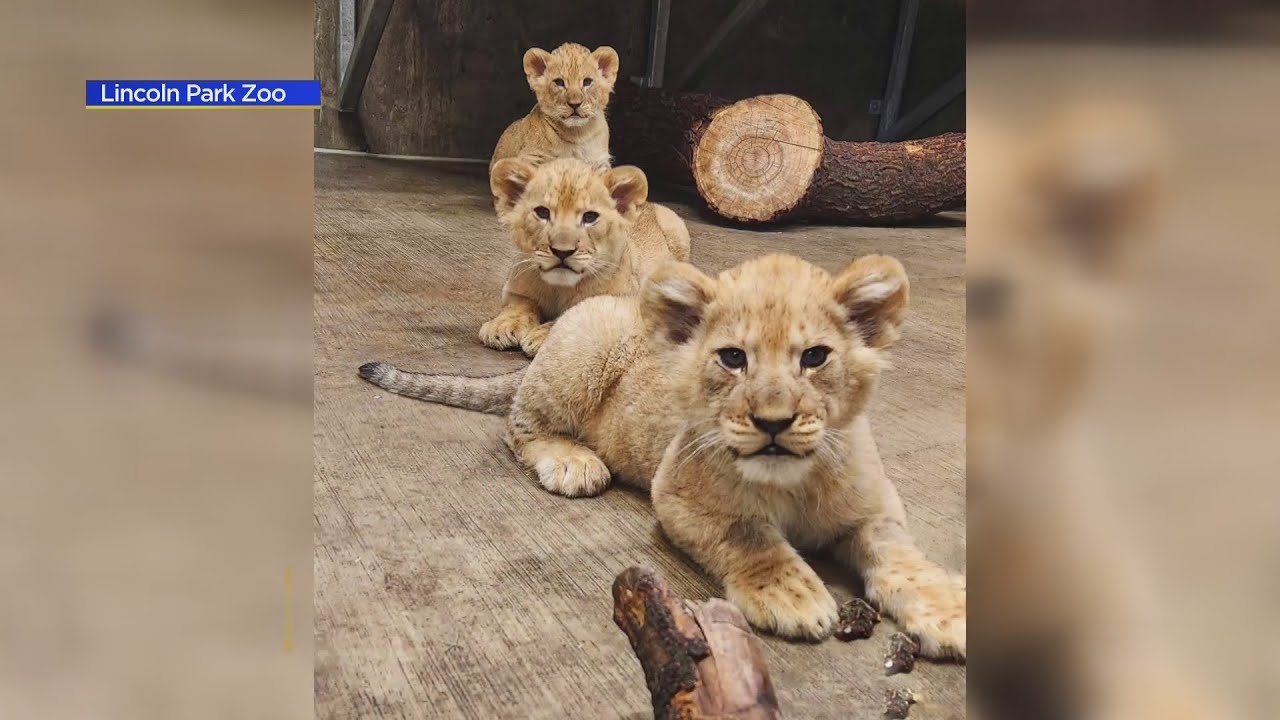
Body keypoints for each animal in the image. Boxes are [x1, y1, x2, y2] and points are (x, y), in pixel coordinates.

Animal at [360, 253, 966, 655]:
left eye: (815, 357)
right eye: (732, 358)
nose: (773, 422)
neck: (790, 480)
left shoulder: (876, 508)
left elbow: (900, 555)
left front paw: (949, 611)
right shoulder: (676, 494)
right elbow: (749, 534)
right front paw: (791, 595)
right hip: (583, 348)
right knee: (519, 427)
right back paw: (574, 462)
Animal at [481, 156, 690, 357]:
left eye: (590, 217)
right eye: (542, 212)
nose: (562, 251)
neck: (559, 288)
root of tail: (650, 203)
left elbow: (575, 316)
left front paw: (542, 337)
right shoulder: (515, 289)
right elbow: (518, 306)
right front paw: (502, 326)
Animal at [491, 43, 619, 172]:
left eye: (587, 82)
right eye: (559, 82)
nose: (575, 104)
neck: (579, 135)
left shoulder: (600, 161)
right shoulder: (531, 158)